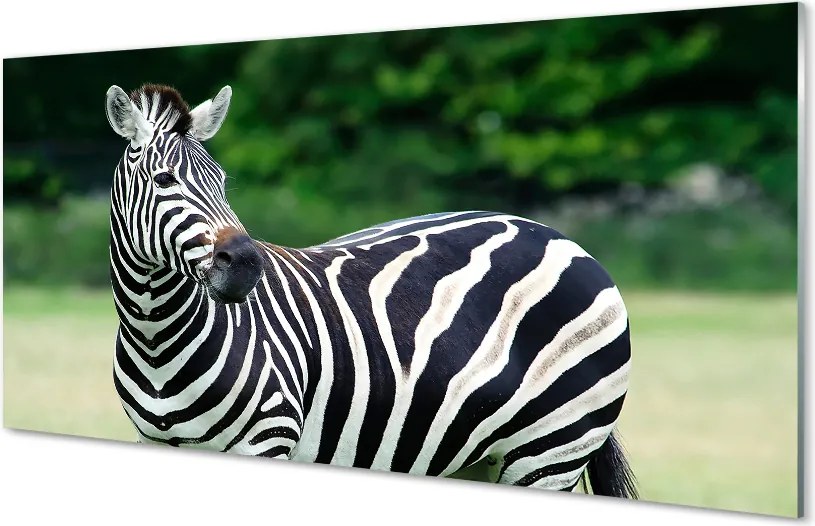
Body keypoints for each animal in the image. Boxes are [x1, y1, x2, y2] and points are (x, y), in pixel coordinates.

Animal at [106, 82, 637, 497]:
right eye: (163, 179)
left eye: (221, 181)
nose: (247, 266)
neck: (156, 338)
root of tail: (559, 236)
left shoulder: (269, 440)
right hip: (477, 459)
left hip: (552, 451)